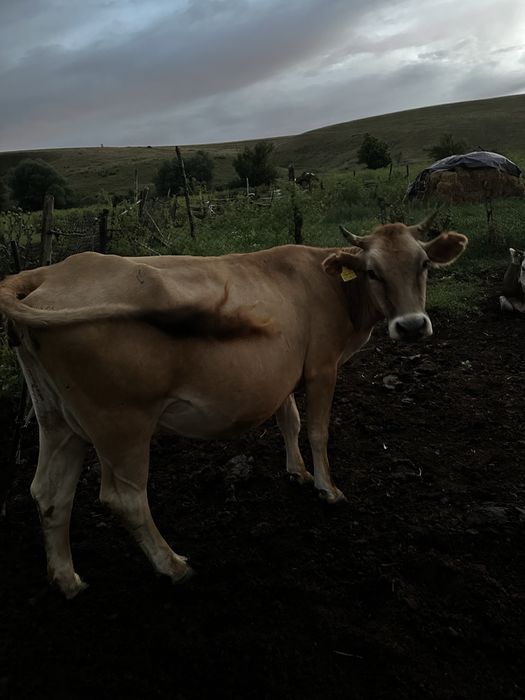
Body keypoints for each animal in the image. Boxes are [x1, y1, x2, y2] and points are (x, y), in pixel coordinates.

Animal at [0, 220, 467, 598]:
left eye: (424, 264)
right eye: (372, 271)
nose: (412, 326)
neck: (329, 284)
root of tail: (51, 270)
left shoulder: (282, 374)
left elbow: (289, 420)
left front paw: (297, 472)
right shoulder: (322, 367)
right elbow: (317, 429)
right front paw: (327, 488)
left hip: (58, 419)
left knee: (49, 492)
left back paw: (67, 580)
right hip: (120, 422)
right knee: (123, 497)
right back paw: (173, 565)